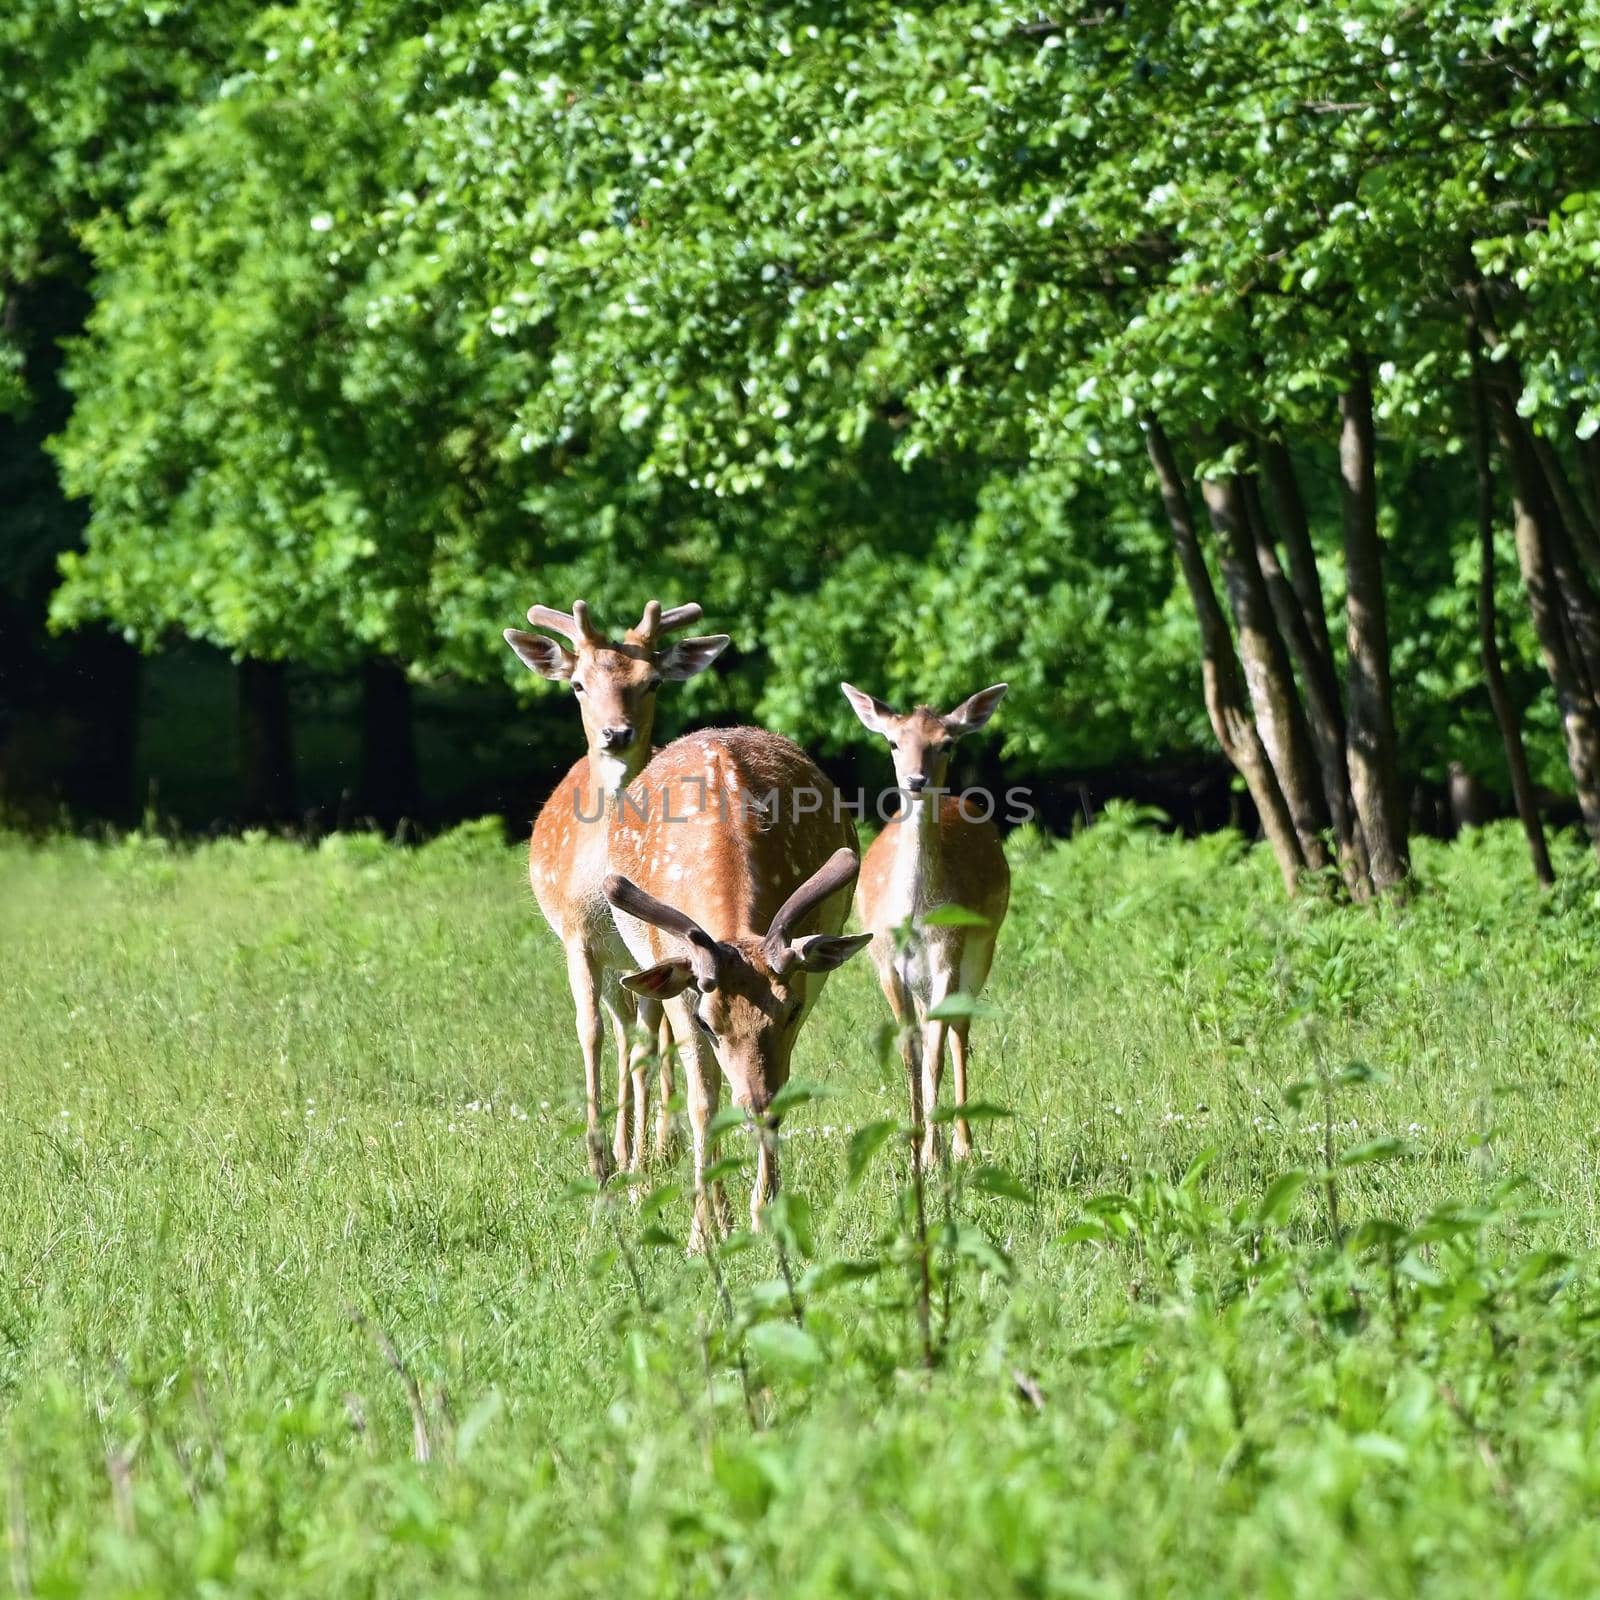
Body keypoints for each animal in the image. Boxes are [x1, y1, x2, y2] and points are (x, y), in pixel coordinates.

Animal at [502, 601, 729, 1177]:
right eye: (578, 684)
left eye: (652, 682)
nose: (616, 733)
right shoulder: (577, 937)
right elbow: (591, 1030)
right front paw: (600, 1159)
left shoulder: (646, 946)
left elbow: (653, 1039)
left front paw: (638, 1157)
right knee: (624, 1027)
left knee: (650, 1033)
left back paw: (655, 1142)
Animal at [601, 732, 876, 1241]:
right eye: (708, 1023)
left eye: (789, 1010)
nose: (757, 1106)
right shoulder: (682, 991)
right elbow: (702, 1105)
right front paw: (704, 1233)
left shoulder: (803, 984)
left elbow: (779, 1086)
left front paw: (765, 1214)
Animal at [844, 684, 1004, 1164]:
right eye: (894, 743)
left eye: (946, 743)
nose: (916, 780)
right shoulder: (885, 961)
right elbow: (910, 1052)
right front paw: (914, 1149)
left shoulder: (948, 951)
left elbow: (934, 1052)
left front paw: (935, 1155)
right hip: (919, 978)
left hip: (981, 949)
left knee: (959, 1034)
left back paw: (964, 1144)